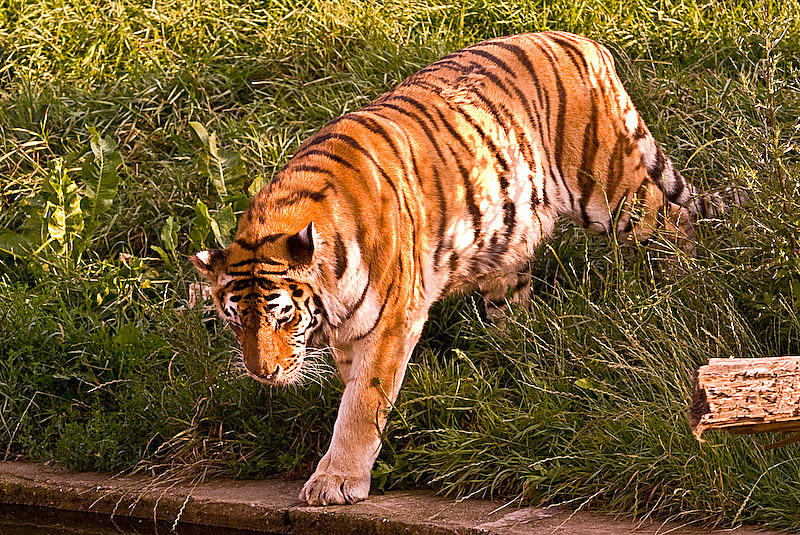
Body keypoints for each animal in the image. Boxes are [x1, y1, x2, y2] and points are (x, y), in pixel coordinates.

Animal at [192, 31, 732, 508]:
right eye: (234, 322)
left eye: (283, 316)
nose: (263, 374)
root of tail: (582, 41)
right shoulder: (351, 328)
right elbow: (354, 392)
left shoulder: (390, 323)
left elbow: (361, 405)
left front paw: (336, 482)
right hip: (509, 241)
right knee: (514, 303)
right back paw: (511, 352)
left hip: (610, 188)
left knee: (675, 221)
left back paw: (682, 284)